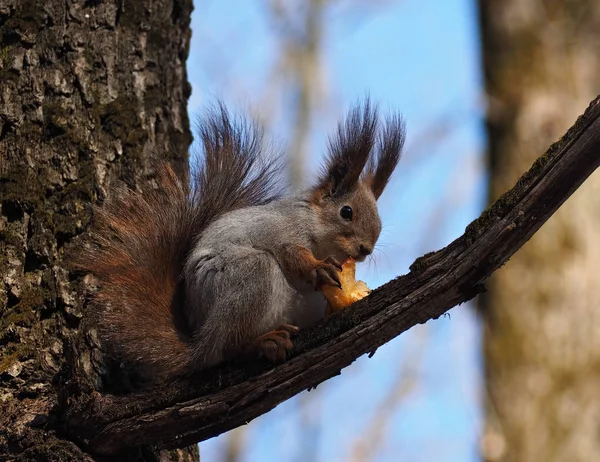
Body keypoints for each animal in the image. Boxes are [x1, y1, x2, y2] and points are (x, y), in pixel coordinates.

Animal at [78, 99, 404, 380]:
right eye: (346, 212)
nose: (365, 249)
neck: (318, 232)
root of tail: (199, 342)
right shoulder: (281, 230)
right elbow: (291, 254)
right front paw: (317, 269)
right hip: (248, 276)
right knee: (226, 350)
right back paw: (263, 342)